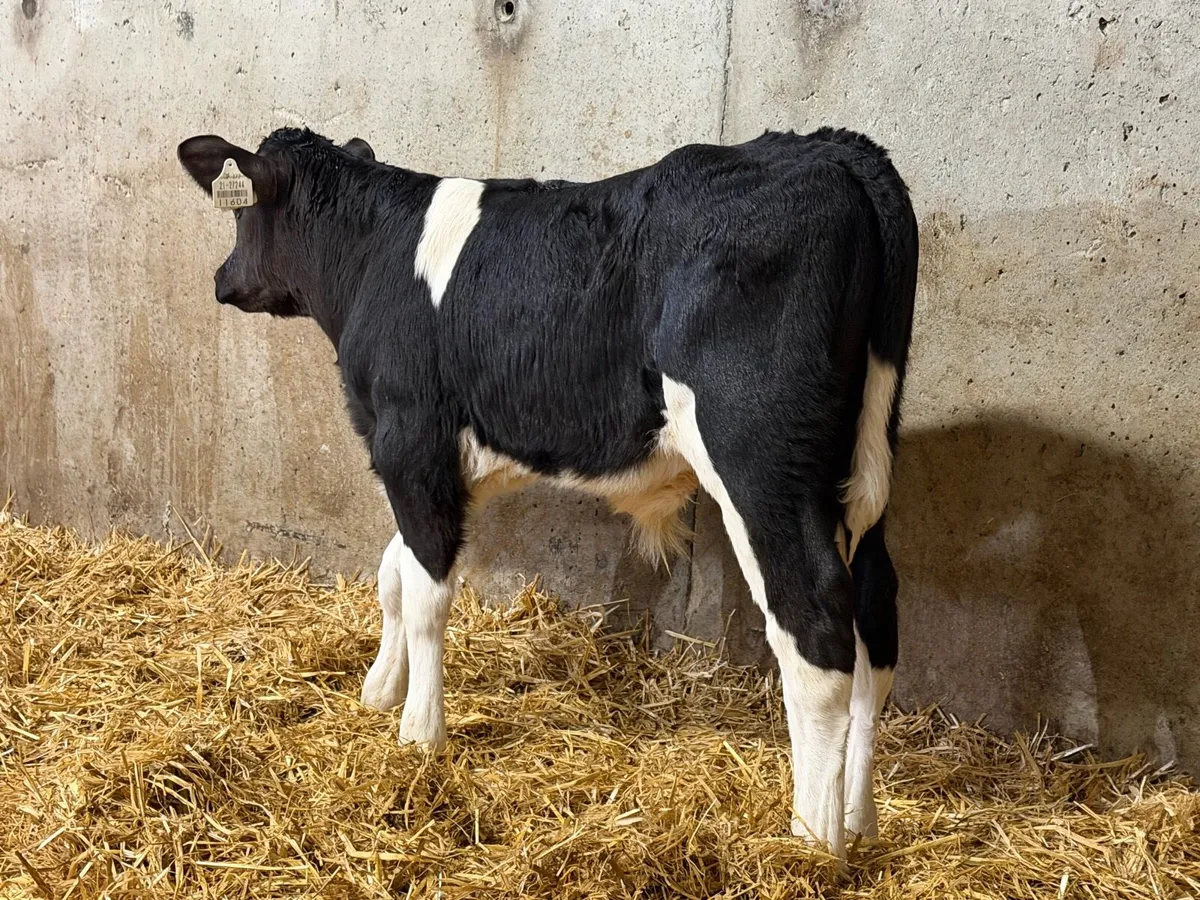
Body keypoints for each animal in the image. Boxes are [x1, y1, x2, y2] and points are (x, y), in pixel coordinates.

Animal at [177, 125, 917, 860]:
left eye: (241, 212)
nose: (219, 279)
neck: (372, 257)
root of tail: (832, 147)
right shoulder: (450, 464)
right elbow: (395, 571)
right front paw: (380, 689)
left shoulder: (409, 437)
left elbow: (425, 596)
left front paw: (420, 734)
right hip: (864, 460)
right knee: (874, 621)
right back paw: (861, 822)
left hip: (758, 452)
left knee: (813, 619)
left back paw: (814, 841)